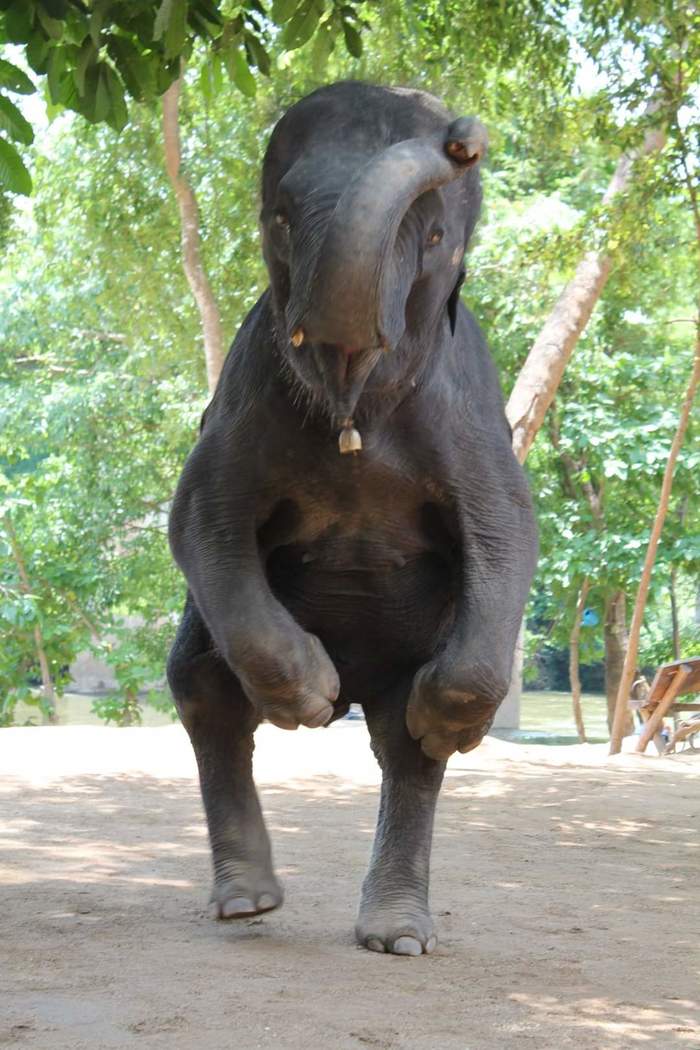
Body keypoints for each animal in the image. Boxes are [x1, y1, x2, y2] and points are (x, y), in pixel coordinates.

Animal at [167, 81, 538, 957]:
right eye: (278, 218)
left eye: (435, 237)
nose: (464, 138)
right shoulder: (243, 397)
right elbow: (200, 516)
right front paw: (304, 698)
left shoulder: (471, 417)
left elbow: (508, 531)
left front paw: (449, 719)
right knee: (202, 685)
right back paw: (248, 900)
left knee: (401, 744)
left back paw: (397, 934)